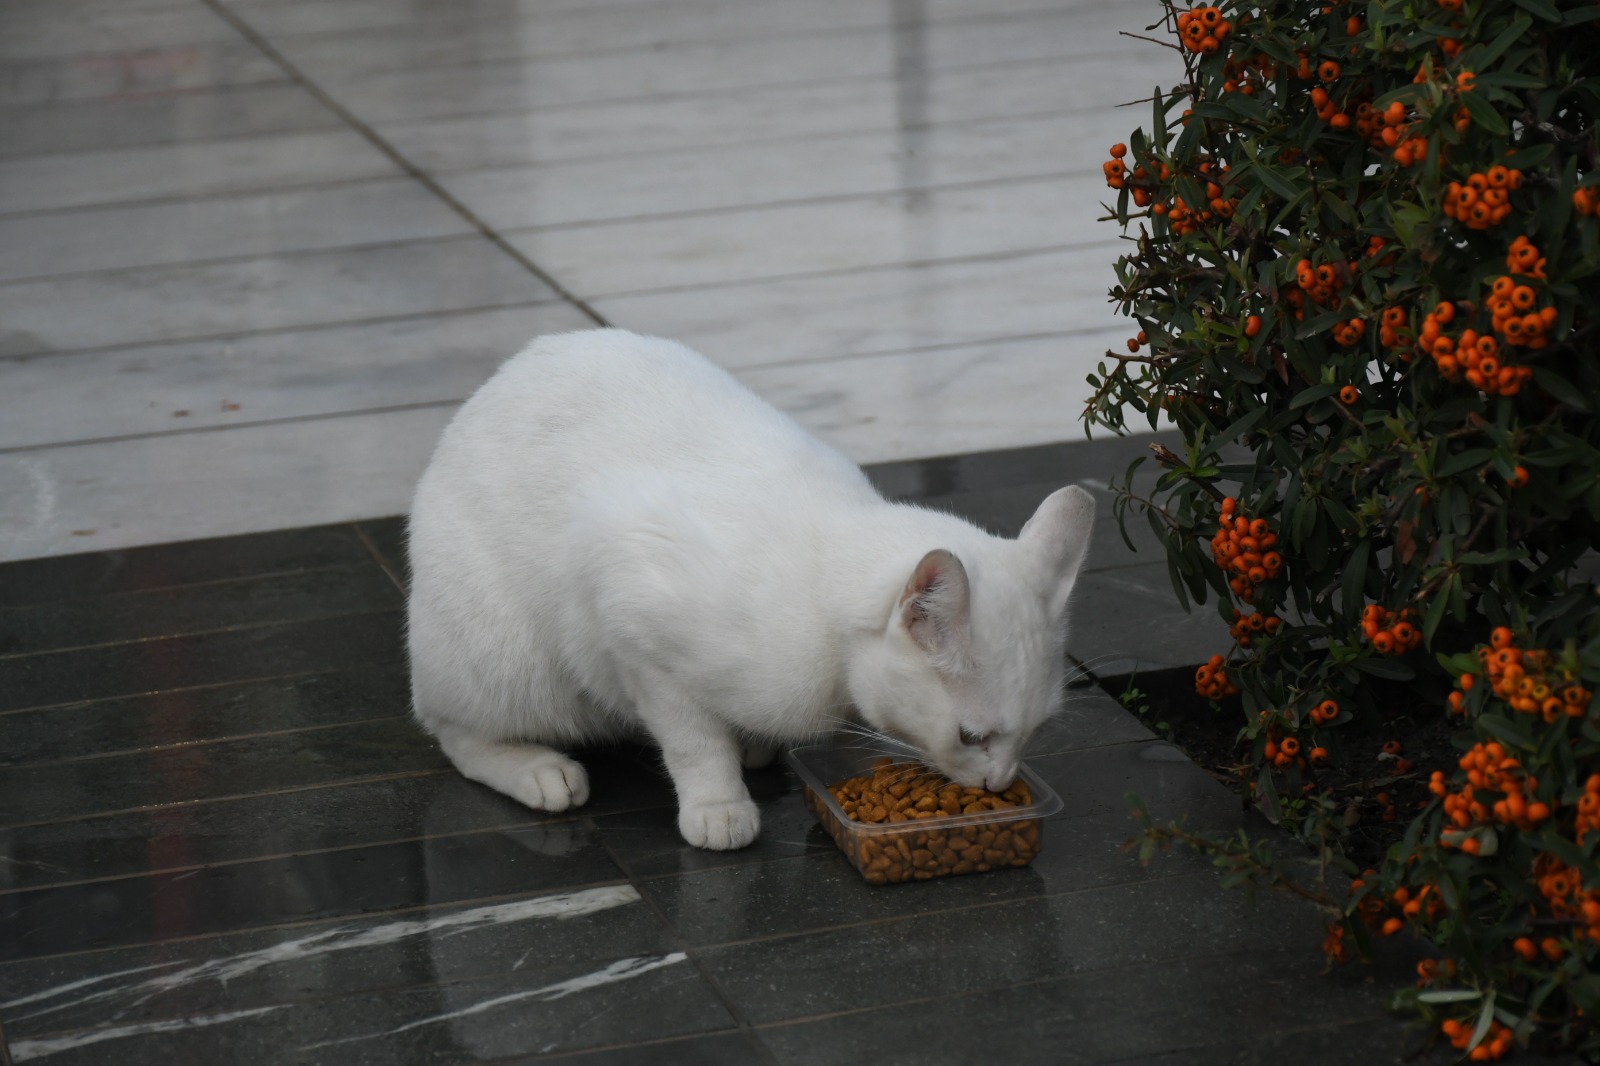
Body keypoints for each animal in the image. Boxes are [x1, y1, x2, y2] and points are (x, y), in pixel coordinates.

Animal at [406, 329, 1094, 845]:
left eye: (1035, 731)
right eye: (972, 737)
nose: (999, 784)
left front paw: (752, 746)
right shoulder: (629, 616)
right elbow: (692, 738)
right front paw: (718, 804)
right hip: (503, 661)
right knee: (450, 730)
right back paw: (539, 770)